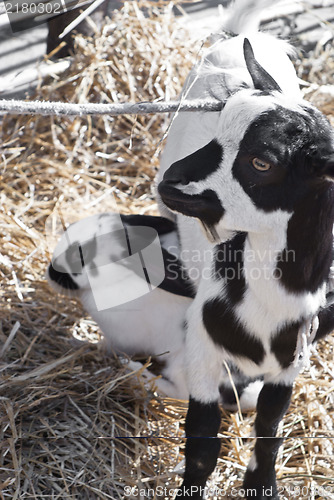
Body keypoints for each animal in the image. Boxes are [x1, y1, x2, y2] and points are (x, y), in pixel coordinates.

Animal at [157, 1, 334, 498]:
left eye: (262, 162)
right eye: (217, 129)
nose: (173, 181)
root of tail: (239, 37)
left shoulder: (291, 360)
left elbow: (269, 430)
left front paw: (263, 483)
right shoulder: (202, 343)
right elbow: (202, 440)